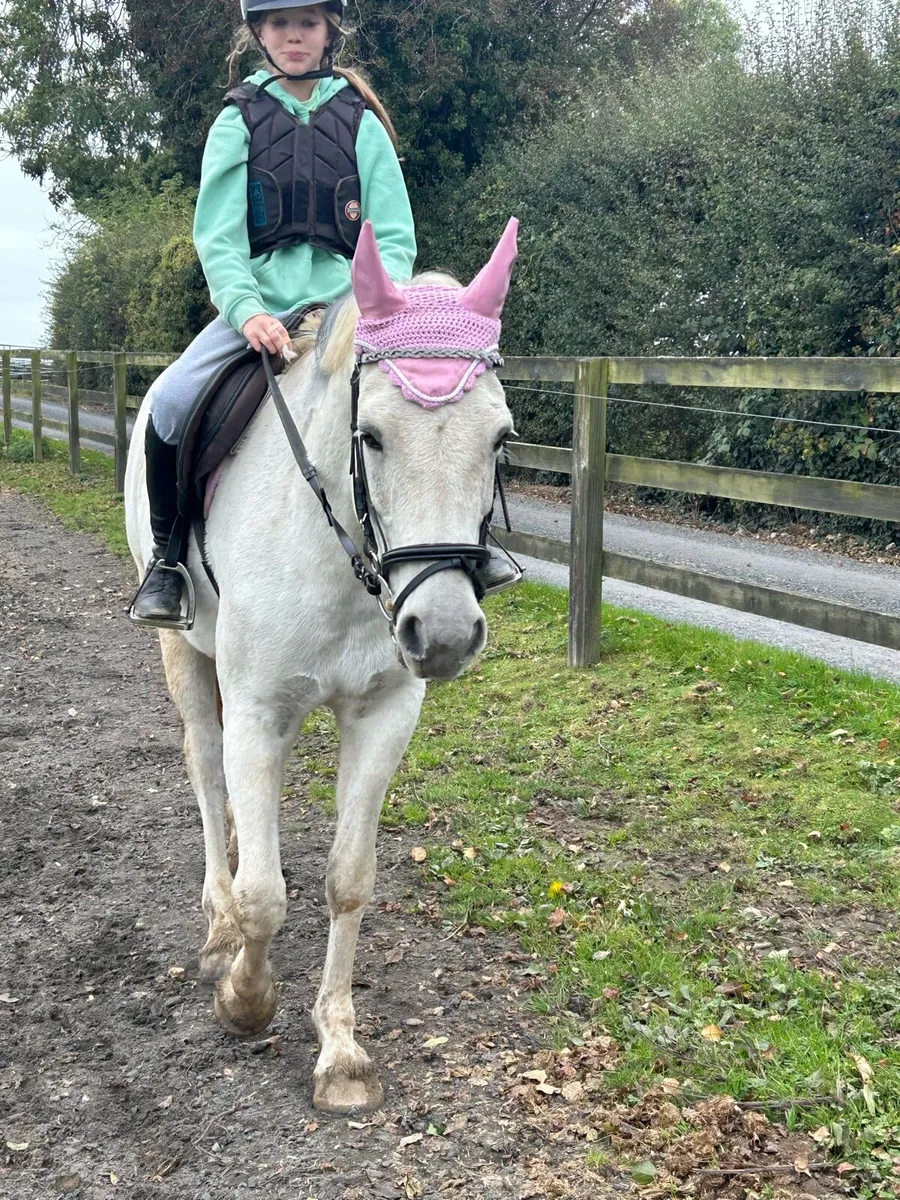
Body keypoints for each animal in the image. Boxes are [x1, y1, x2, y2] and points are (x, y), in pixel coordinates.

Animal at [123, 218, 519, 1113]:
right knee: (206, 775)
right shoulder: (256, 711)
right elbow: (264, 895)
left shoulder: (383, 716)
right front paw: (244, 998)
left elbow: (349, 878)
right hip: (183, 653)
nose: (445, 633)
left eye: (499, 437)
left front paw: (339, 1049)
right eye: (370, 434)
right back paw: (217, 924)